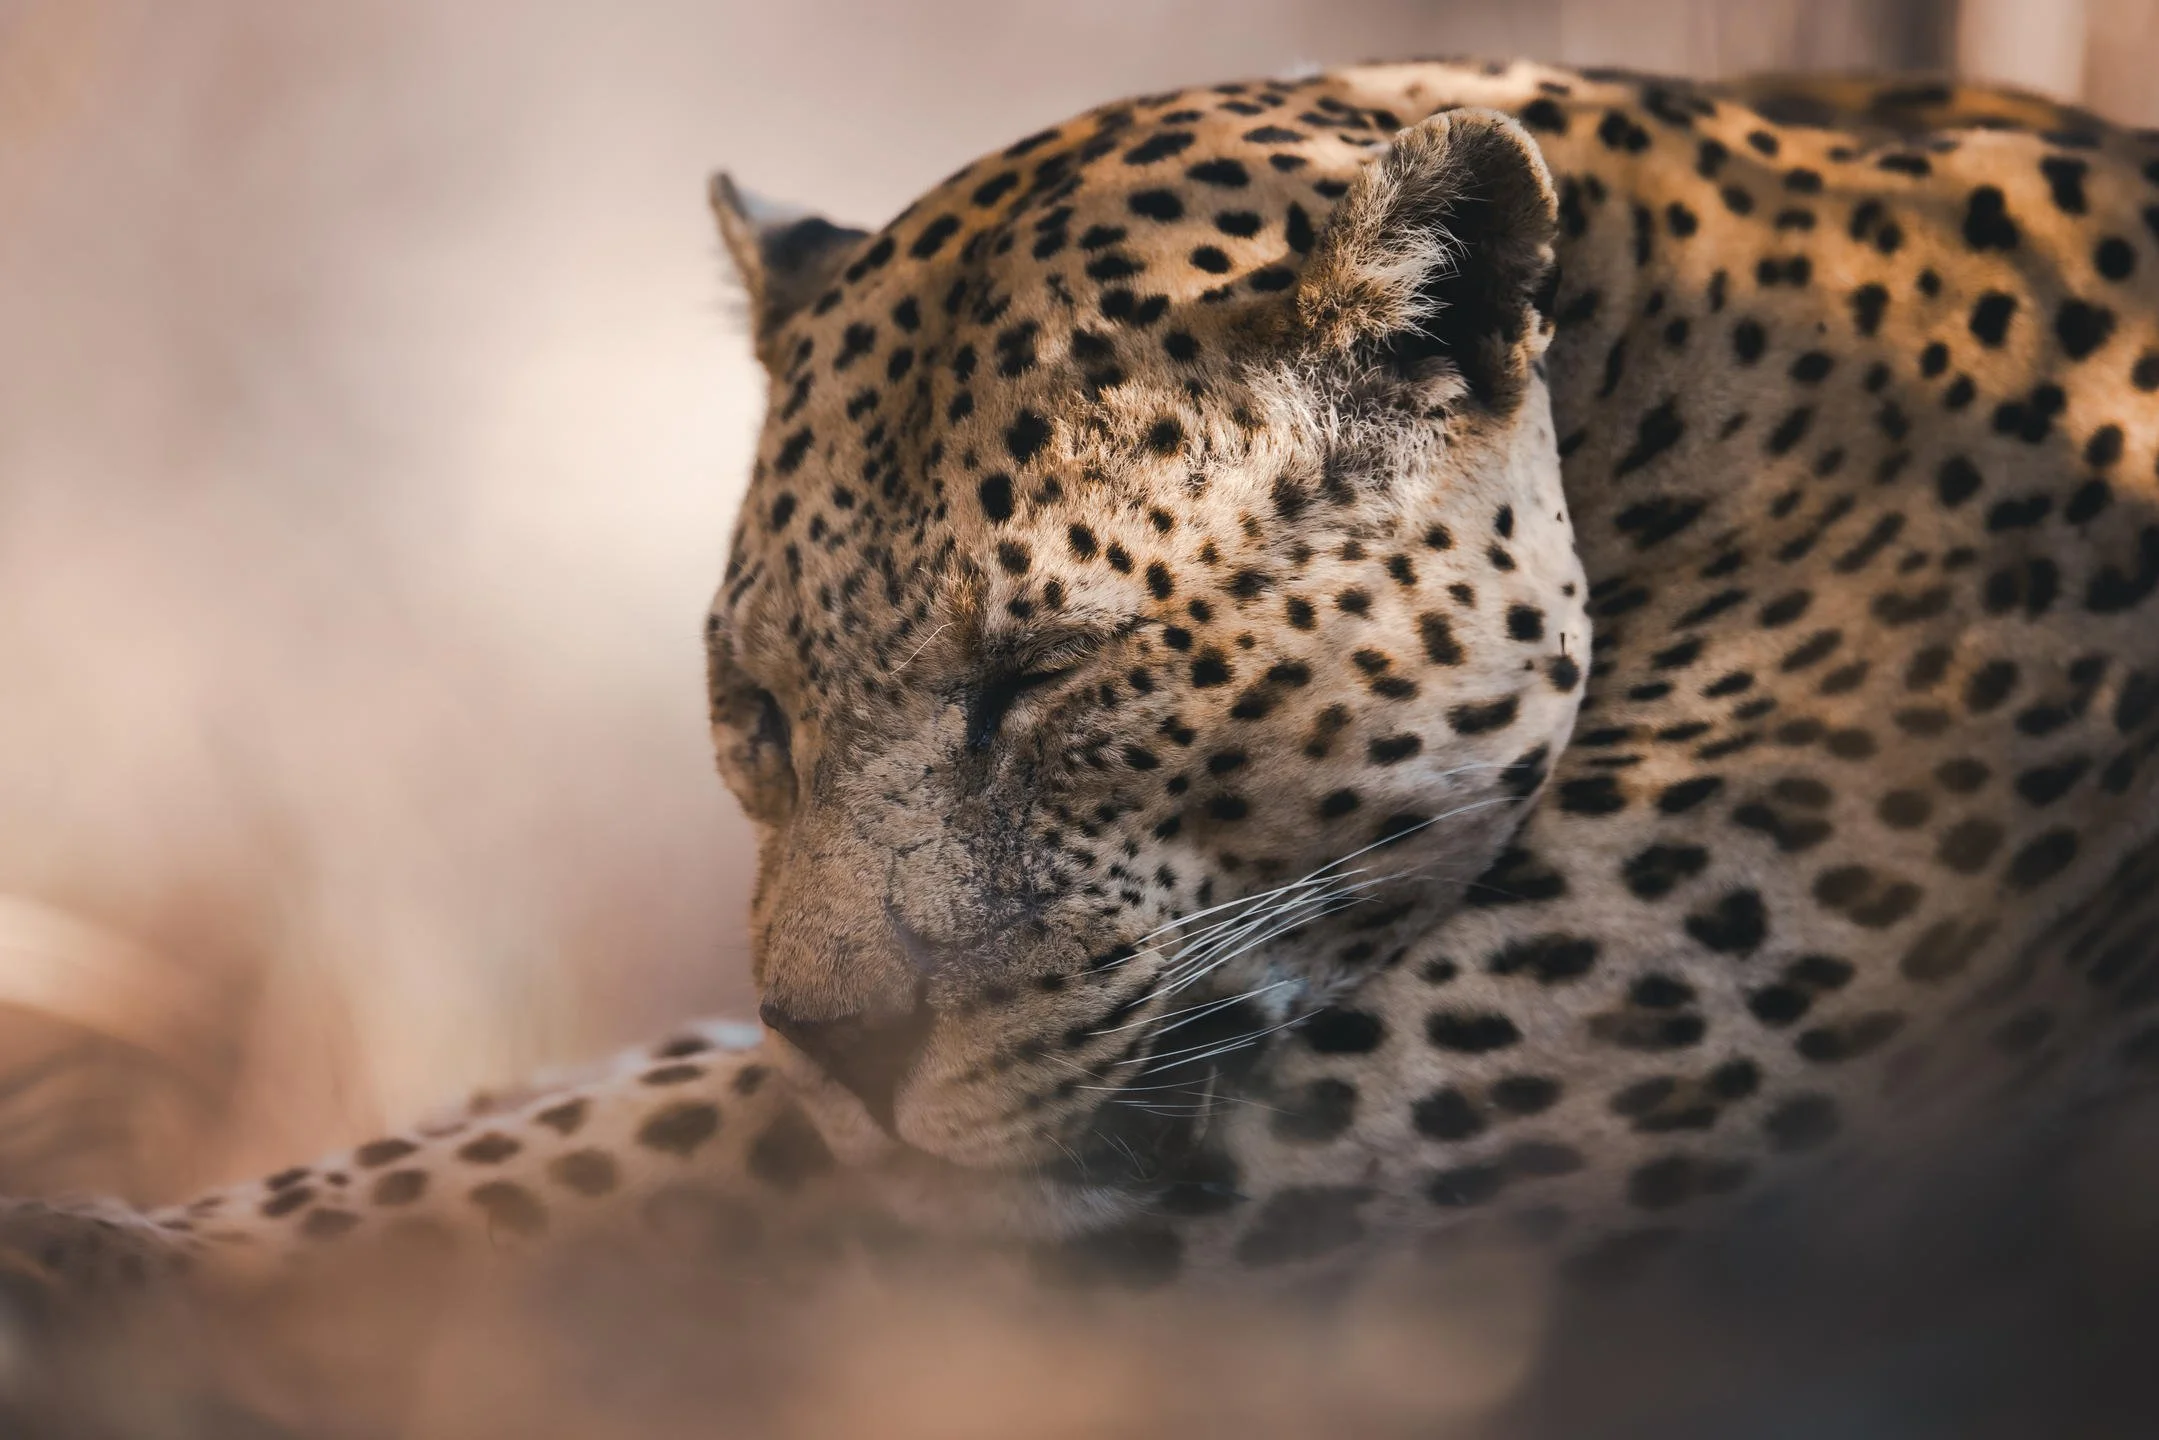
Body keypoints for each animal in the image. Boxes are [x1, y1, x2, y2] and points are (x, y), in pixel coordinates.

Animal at [8, 56, 2159, 1370]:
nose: (844, 1045)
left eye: (1040, 680)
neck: (1670, 404)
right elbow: (583, 1100)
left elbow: (612, 1159)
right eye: (754, 708)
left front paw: (106, 1272)